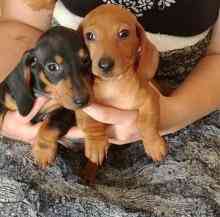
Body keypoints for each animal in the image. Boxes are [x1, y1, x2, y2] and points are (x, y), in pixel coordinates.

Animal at [0, 25, 92, 168]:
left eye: (85, 60)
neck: (42, 92)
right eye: (52, 67)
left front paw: (43, 151)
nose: (83, 101)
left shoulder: (65, 111)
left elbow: (50, 125)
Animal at [80, 4, 168, 169]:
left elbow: (147, 122)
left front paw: (154, 144)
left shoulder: (150, 98)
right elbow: (90, 122)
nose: (105, 65)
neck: (113, 85)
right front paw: (96, 144)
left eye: (124, 34)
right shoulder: (82, 105)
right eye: (90, 36)